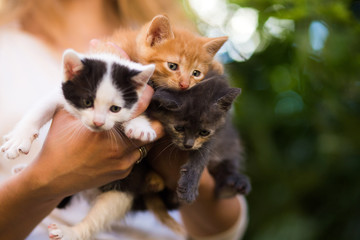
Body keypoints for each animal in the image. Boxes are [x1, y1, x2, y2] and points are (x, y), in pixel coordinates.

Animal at [148, 72, 252, 203]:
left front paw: (189, 185)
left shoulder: (216, 134)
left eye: (204, 132)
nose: (188, 145)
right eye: (179, 128)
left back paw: (232, 185)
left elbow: (201, 155)